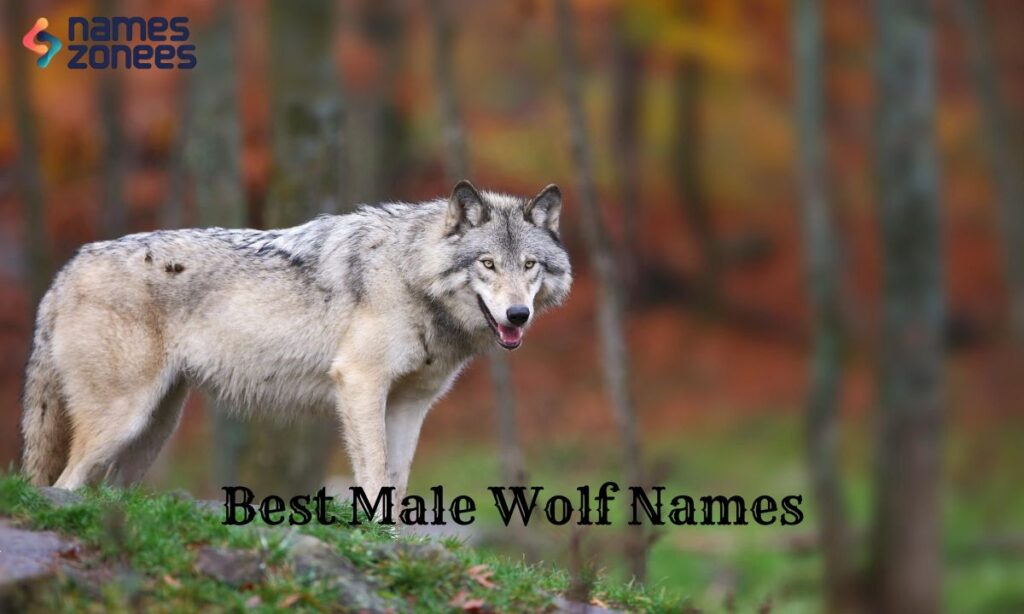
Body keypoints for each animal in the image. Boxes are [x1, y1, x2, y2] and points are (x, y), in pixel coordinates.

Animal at [20, 181, 572, 503]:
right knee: (64, 484)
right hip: (123, 420)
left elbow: (398, 483)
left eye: (529, 265)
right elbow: (375, 478)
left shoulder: (409, 405)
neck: (408, 273)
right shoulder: (359, 384)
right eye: (488, 264)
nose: (517, 315)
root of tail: (66, 271)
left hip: (152, 431)